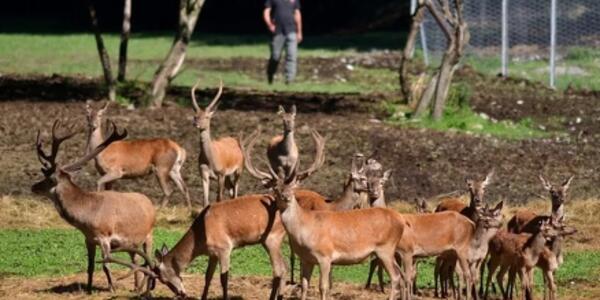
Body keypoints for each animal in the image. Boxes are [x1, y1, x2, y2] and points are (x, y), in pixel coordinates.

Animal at [31, 119, 156, 292]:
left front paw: (112, 288)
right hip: (132, 242)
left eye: (48, 179)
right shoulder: (88, 239)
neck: (87, 217)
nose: (33, 187)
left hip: (149, 235)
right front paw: (89, 289)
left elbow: (105, 265)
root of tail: (149, 202)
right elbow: (90, 266)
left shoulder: (105, 236)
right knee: (136, 260)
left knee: (148, 261)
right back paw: (136, 287)